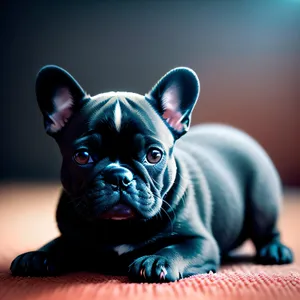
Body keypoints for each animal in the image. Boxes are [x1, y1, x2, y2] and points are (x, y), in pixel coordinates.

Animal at [9, 65, 292, 282]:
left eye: (154, 155)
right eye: (82, 156)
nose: (119, 176)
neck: (119, 228)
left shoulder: (201, 242)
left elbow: (177, 248)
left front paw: (156, 260)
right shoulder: (72, 234)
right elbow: (60, 242)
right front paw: (38, 255)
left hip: (262, 203)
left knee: (268, 230)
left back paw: (276, 251)